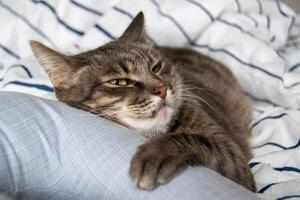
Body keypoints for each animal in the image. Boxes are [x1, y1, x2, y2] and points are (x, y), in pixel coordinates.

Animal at [29, 11, 255, 191]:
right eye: (119, 82)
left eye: (156, 67)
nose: (162, 89)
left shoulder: (236, 160)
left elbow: (194, 139)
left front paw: (156, 154)